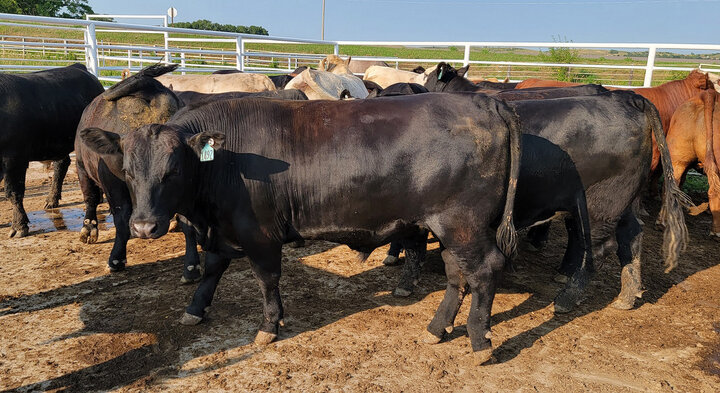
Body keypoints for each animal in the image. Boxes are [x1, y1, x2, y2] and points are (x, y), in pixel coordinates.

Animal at [0, 64, 104, 236]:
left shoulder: (14, 160)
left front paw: (19, 225)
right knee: (61, 165)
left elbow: (14, 192)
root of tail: (78, 67)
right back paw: (51, 200)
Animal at [83, 92, 524, 358]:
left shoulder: (259, 234)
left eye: (173, 170)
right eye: (128, 170)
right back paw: (437, 327)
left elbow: (267, 280)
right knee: (457, 274)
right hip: (450, 228)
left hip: (462, 224)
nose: (143, 226)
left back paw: (480, 341)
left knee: (485, 270)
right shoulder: (224, 231)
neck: (226, 161)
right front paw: (196, 308)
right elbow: (212, 270)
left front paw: (269, 325)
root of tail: (484, 101)